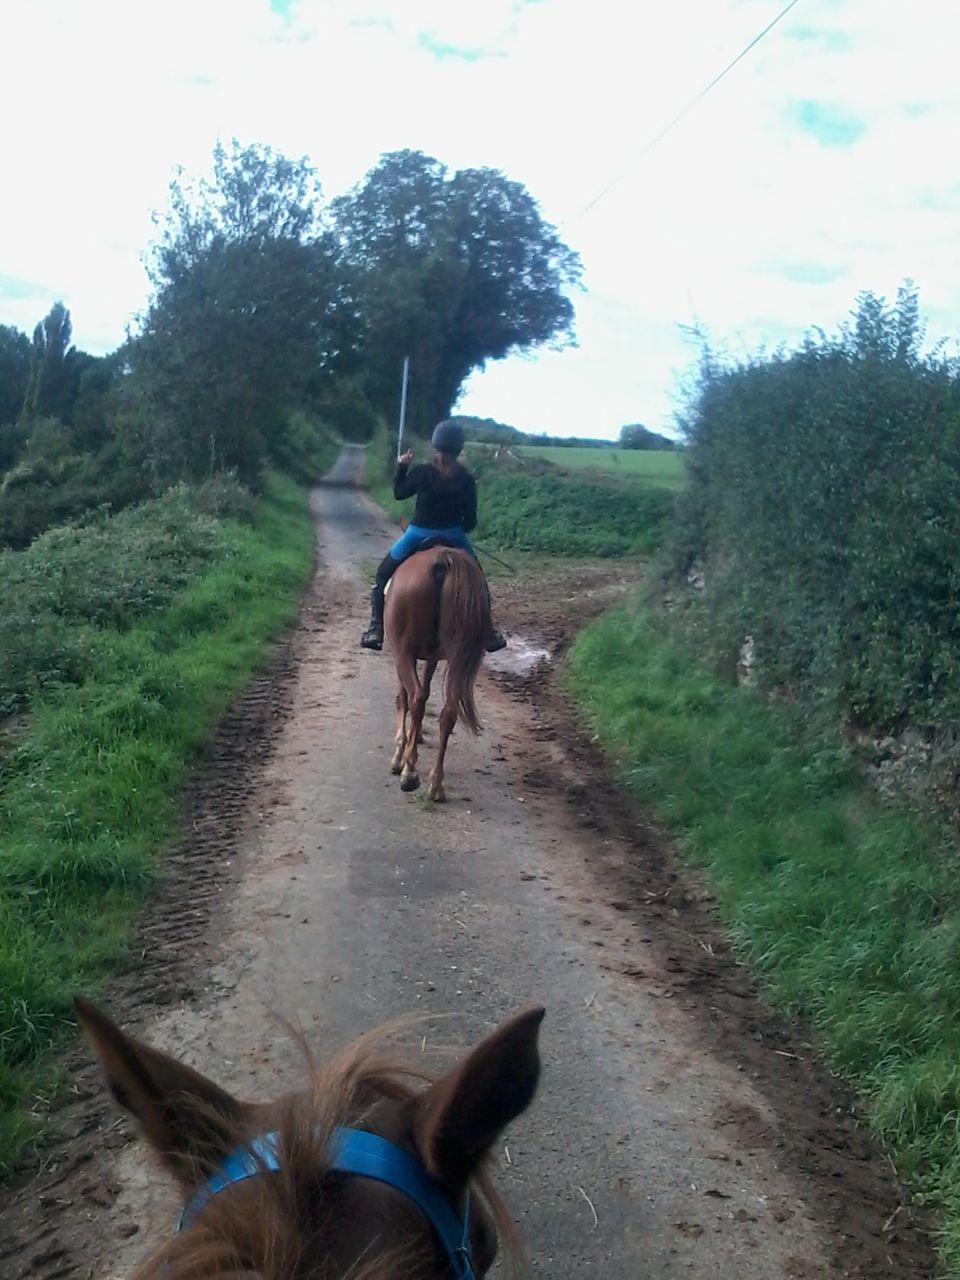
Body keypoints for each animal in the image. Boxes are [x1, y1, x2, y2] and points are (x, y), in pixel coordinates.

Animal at [385, 545, 491, 802]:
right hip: (456, 656)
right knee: (448, 711)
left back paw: (409, 774)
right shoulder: (432, 657)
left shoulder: (402, 654)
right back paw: (435, 784)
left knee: (416, 698)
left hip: (403, 652)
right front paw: (415, 738)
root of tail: (444, 559)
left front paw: (401, 753)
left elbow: (403, 698)